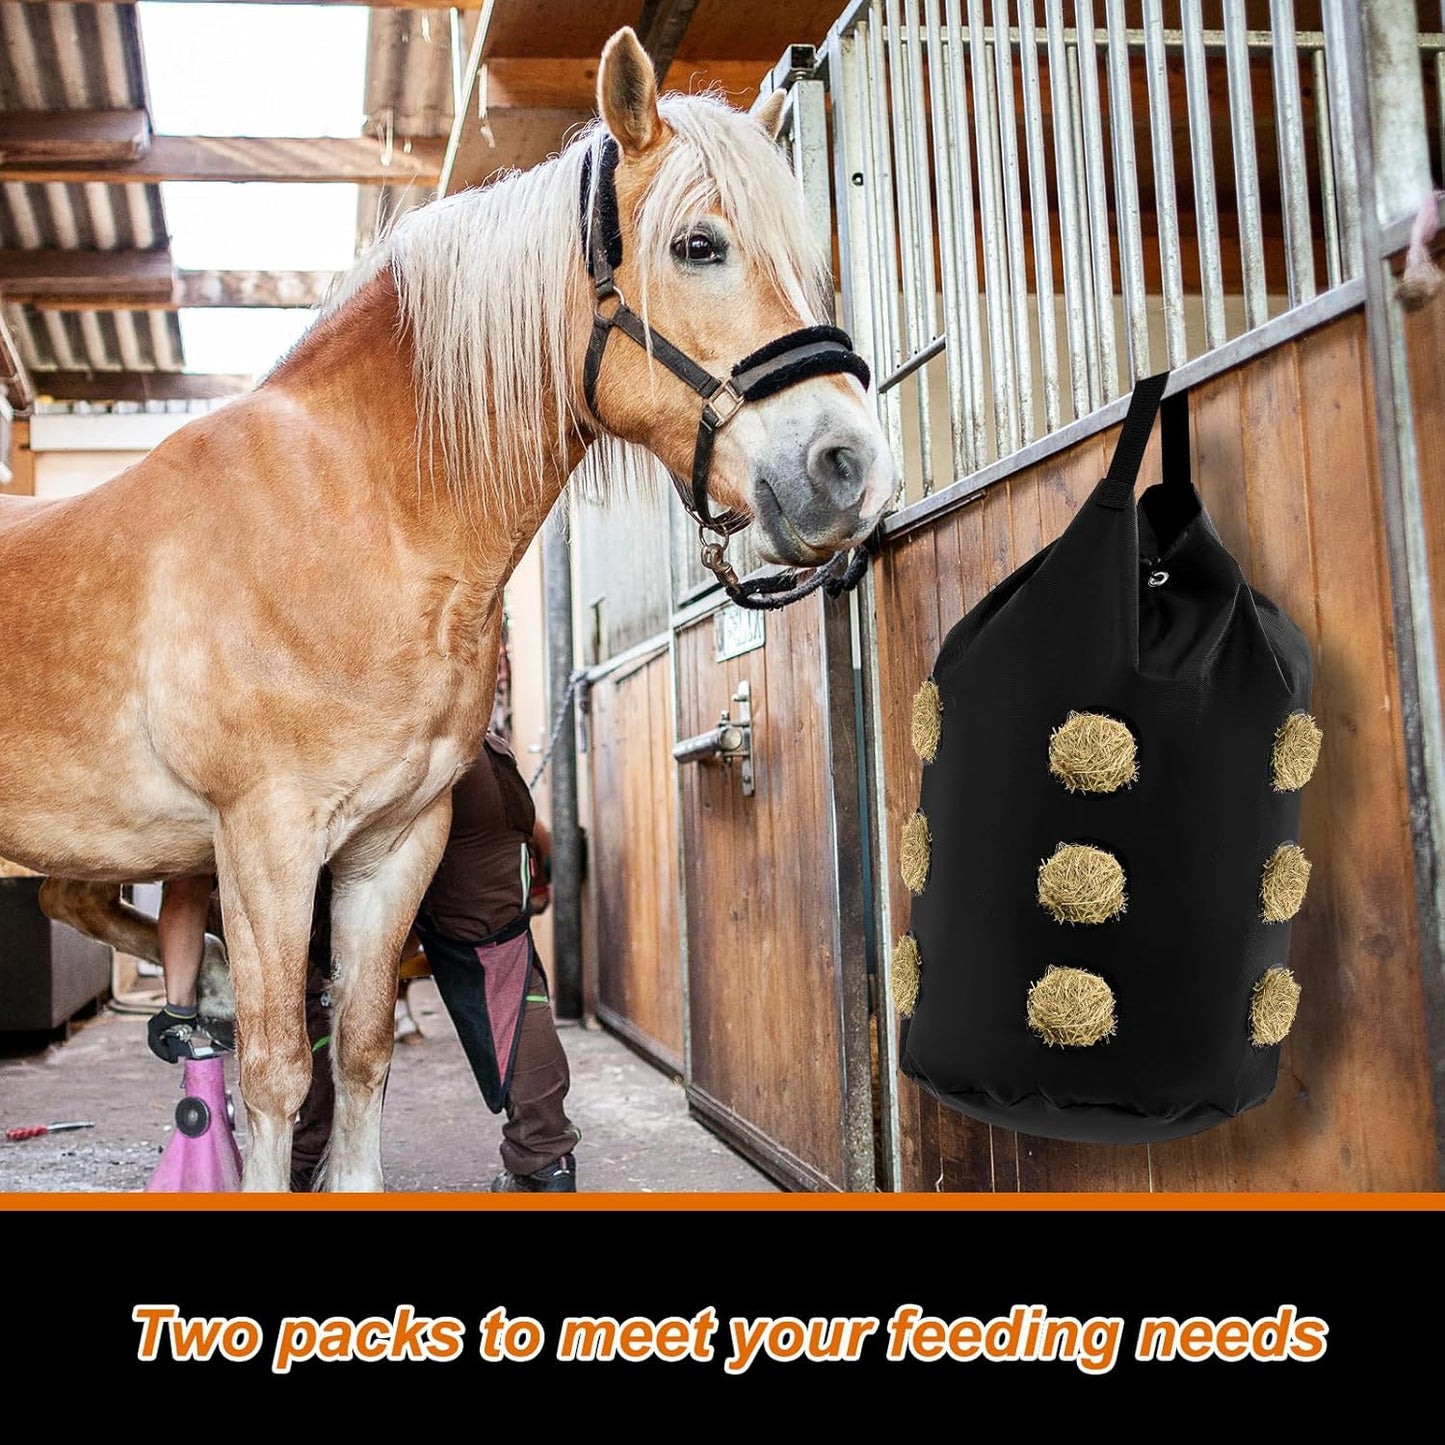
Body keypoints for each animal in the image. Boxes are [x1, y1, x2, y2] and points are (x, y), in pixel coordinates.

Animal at [0, 28, 896, 1191]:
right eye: (698, 245)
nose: (851, 468)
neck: (348, 511)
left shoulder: (393, 845)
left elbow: (363, 1042)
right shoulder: (265, 842)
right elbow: (277, 1071)